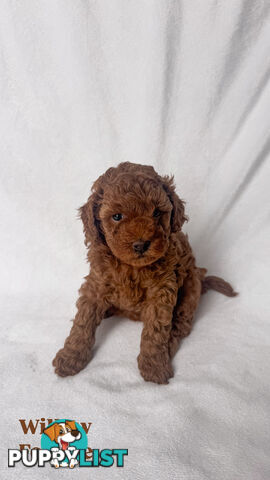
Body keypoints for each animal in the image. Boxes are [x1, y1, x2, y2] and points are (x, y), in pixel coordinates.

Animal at [52, 163, 236, 384]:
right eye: (117, 216)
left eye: (156, 213)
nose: (141, 245)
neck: (131, 267)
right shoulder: (96, 284)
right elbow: (82, 323)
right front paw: (70, 357)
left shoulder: (162, 292)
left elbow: (156, 331)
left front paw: (154, 365)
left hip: (191, 286)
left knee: (181, 324)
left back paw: (169, 346)